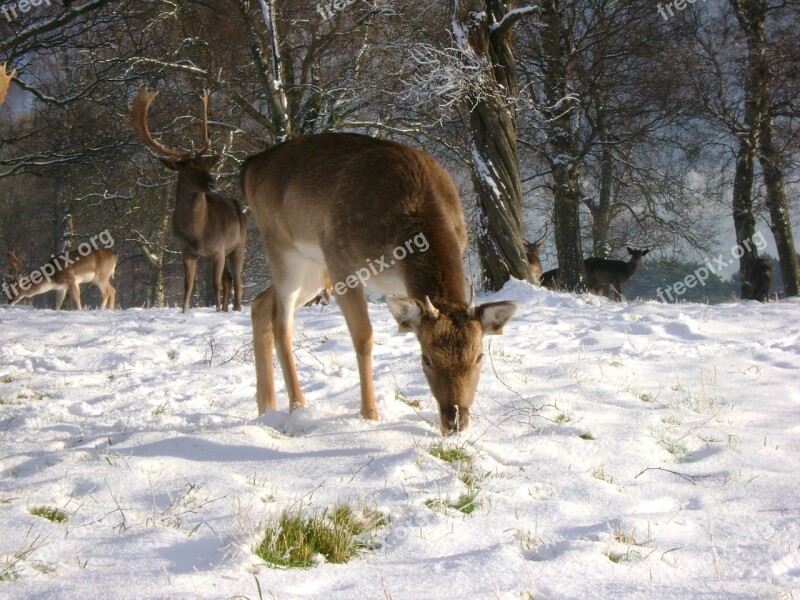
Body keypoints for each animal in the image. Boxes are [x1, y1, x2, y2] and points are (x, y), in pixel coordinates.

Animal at [128, 89, 245, 316]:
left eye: (207, 165)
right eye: (189, 169)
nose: (212, 183)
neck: (197, 232)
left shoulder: (218, 249)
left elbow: (215, 284)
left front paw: (216, 310)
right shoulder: (186, 251)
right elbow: (188, 285)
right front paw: (184, 312)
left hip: (239, 245)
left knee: (237, 279)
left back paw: (235, 308)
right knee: (228, 279)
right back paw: (226, 308)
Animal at [244, 135, 520, 436]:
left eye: (479, 357)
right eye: (425, 358)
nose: (455, 421)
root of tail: (249, 166)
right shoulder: (340, 261)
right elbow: (364, 337)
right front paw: (369, 415)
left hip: (313, 268)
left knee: (260, 304)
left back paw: (265, 408)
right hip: (283, 248)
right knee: (282, 323)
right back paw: (297, 408)